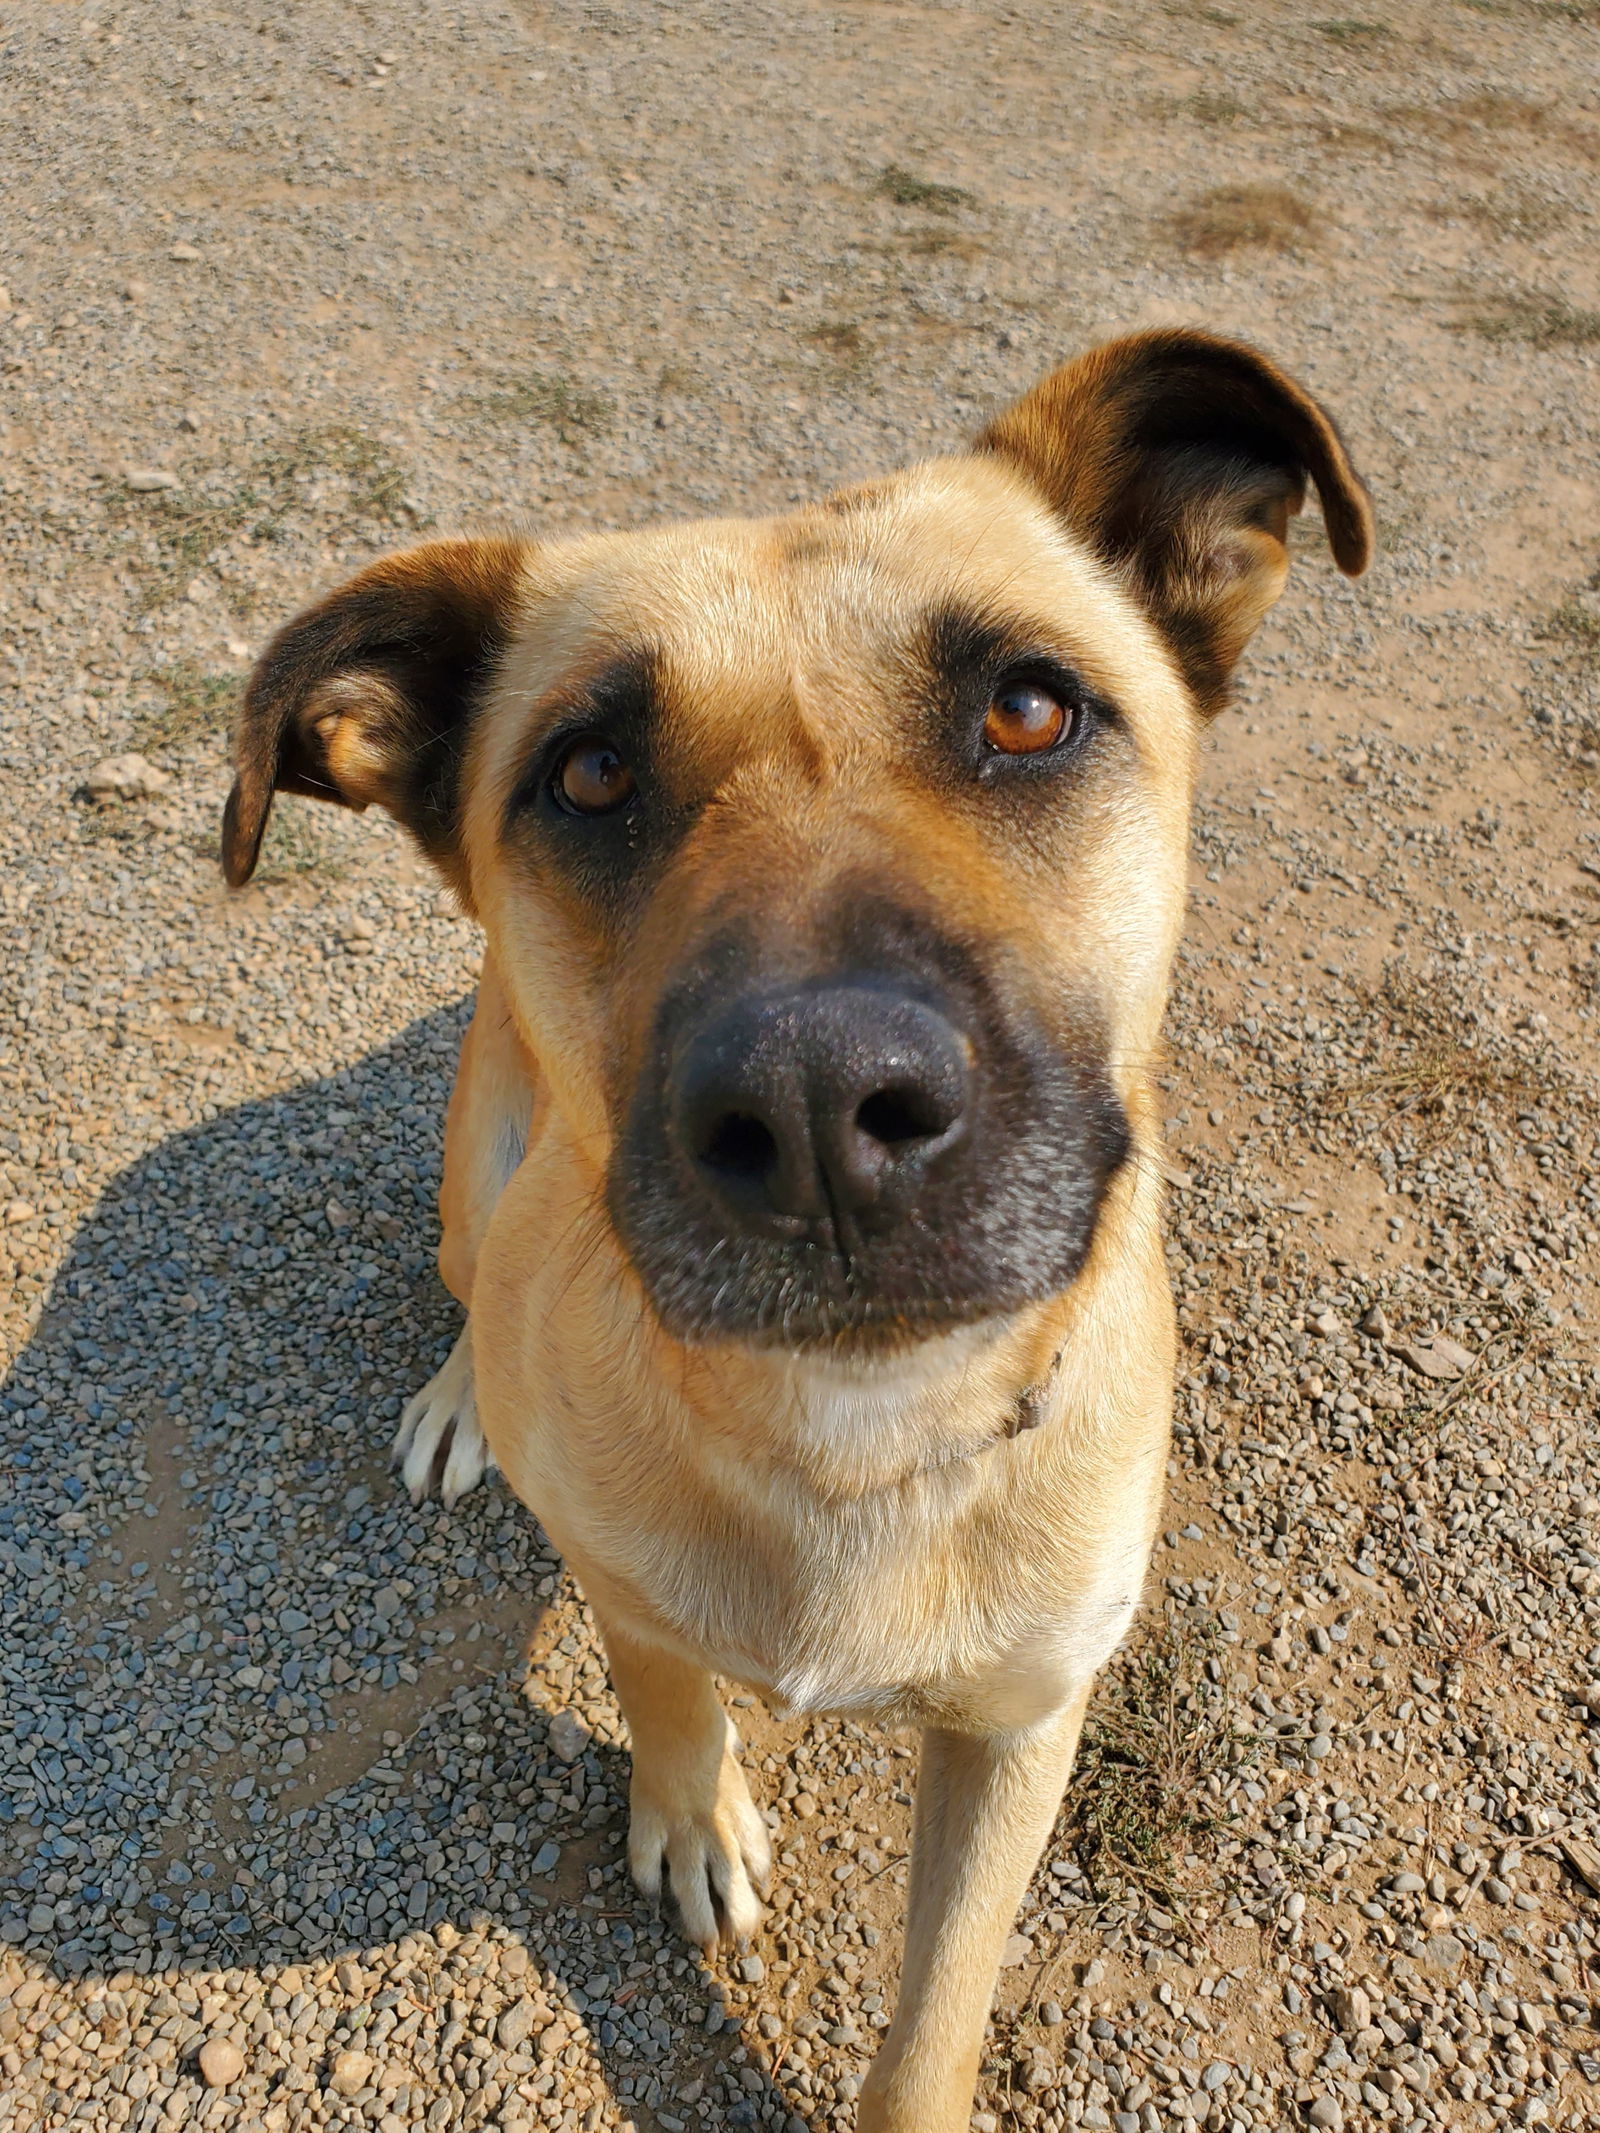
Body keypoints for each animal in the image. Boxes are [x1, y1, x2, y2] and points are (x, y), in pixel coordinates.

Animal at [226, 332, 1382, 2133]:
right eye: (590, 772)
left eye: (1031, 707)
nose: (822, 1102)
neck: (852, 1429)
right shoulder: (621, 1577)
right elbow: (666, 1691)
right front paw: (692, 1811)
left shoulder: (1023, 1731)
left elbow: (936, 2017)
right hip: (483, 1164)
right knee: (471, 1285)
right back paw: (461, 1395)